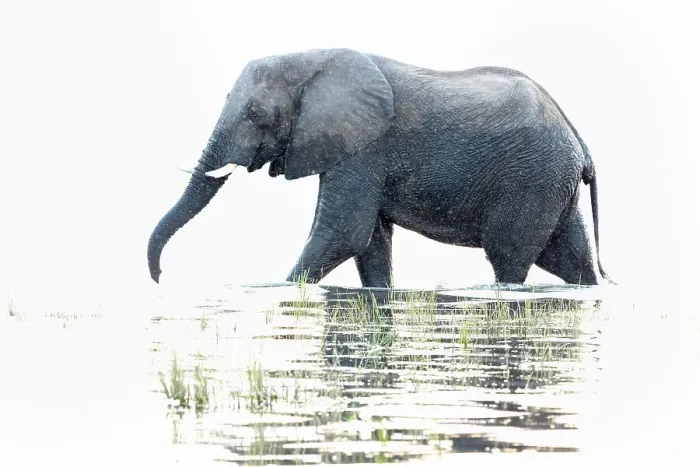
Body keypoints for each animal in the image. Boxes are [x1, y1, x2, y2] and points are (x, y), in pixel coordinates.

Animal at [147, 48, 614, 288]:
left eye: (255, 113)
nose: (160, 278)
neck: (310, 58)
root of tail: (580, 144)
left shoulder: (363, 148)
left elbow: (342, 233)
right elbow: (369, 241)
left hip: (530, 179)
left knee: (509, 256)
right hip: (551, 182)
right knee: (569, 257)